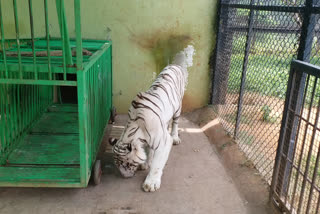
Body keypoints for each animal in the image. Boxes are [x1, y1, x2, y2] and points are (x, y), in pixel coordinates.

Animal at [112, 44, 194, 191]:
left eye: (126, 163)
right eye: (117, 163)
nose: (125, 177)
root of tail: (175, 64)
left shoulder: (163, 141)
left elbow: (157, 163)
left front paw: (150, 183)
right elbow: (150, 152)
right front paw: (146, 163)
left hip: (178, 107)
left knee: (175, 123)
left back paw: (175, 137)